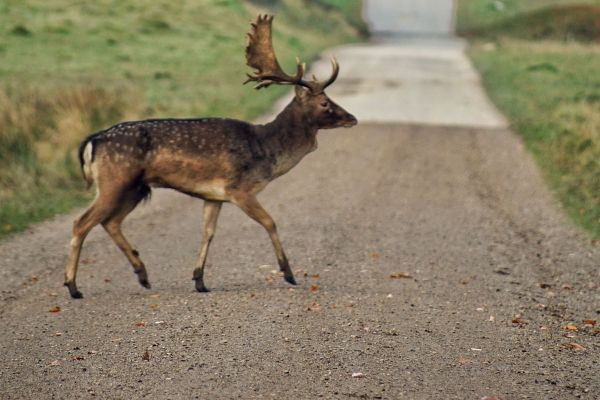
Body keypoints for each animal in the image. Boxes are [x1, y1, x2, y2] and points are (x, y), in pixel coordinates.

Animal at [64, 14, 356, 296]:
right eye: (325, 103)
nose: (352, 118)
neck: (267, 151)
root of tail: (92, 141)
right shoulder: (240, 189)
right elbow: (270, 222)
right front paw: (288, 273)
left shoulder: (213, 196)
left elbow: (208, 233)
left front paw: (199, 280)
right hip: (115, 180)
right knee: (82, 222)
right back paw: (73, 286)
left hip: (134, 187)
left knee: (110, 222)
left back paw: (143, 275)